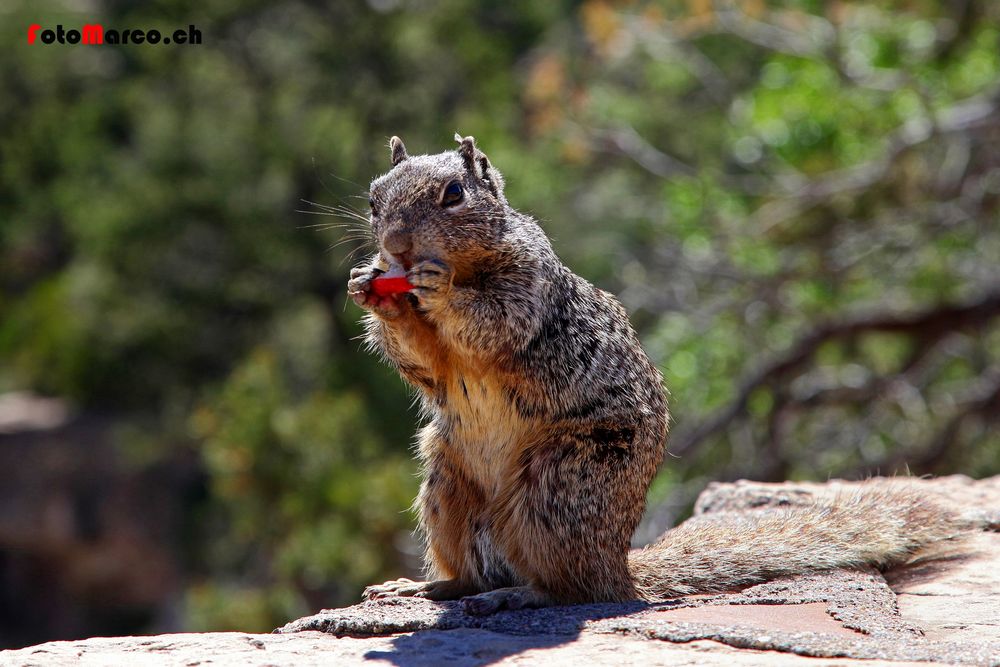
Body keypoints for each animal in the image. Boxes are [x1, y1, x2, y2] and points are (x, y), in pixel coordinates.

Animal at [346, 134, 960, 616]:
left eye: (454, 194)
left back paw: (515, 594)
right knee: (475, 571)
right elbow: (426, 362)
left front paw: (437, 285)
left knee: (570, 588)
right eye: (374, 198)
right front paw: (372, 290)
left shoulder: (528, 292)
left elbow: (491, 320)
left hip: (558, 487)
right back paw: (425, 588)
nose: (395, 245)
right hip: (446, 485)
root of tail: (620, 566)